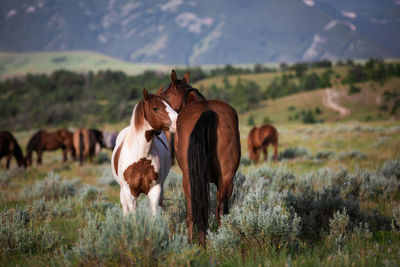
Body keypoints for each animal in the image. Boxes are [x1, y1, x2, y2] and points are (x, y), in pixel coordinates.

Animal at [111, 89, 177, 217]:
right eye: (155, 108)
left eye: (169, 105)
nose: (178, 121)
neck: (142, 157)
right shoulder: (130, 192)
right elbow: (133, 214)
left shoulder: (155, 189)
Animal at [162, 70, 241, 247]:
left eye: (166, 96)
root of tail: (208, 111)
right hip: (227, 178)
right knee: (221, 209)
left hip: (189, 178)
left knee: (194, 212)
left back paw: (196, 244)